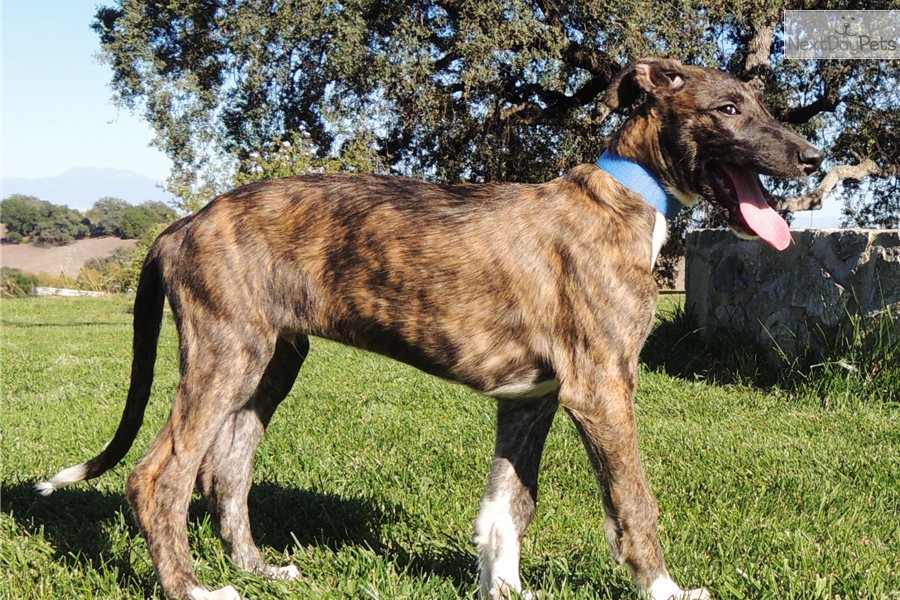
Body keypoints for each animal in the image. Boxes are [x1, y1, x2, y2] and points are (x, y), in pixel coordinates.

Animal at [37, 57, 824, 600]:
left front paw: (504, 590)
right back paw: (194, 587)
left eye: (763, 105)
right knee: (159, 477)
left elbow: (508, 508)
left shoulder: (533, 398)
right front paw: (664, 588)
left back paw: (260, 569)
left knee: (225, 473)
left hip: (271, 363)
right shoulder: (601, 388)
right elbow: (634, 503)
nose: (814, 158)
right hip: (225, 353)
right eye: (727, 108)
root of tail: (181, 224)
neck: (628, 196)